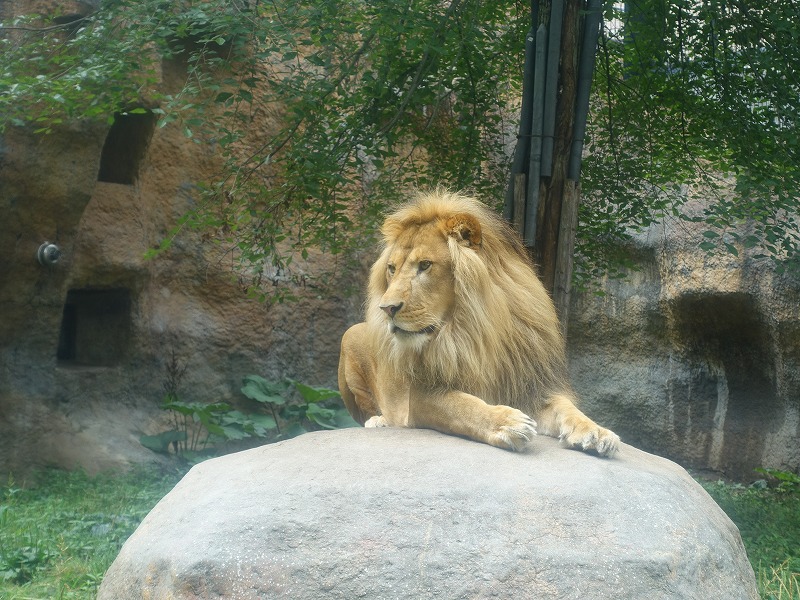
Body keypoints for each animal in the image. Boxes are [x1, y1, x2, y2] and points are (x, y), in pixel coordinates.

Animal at [338, 190, 620, 458]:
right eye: (391, 268)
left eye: (425, 265)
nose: (386, 308)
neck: (472, 330)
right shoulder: (421, 395)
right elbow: (462, 406)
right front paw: (508, 423)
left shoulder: (532, 385)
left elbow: (568, 408)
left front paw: (597, 432)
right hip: (350, 335)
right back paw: (378, 421)